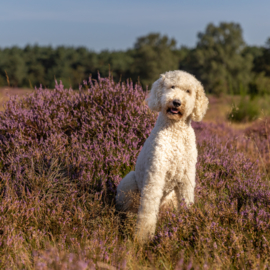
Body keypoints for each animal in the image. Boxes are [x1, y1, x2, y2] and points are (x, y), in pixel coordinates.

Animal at [115, 69, 208, 243]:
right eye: (172, 86)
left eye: (188, 91)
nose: (176, 102)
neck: (175, 130)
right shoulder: (156, 174)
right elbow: (147, 212)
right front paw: (144, 237)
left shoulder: (187, 177)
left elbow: (187, 201)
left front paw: (188, 224)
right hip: (128, 183)